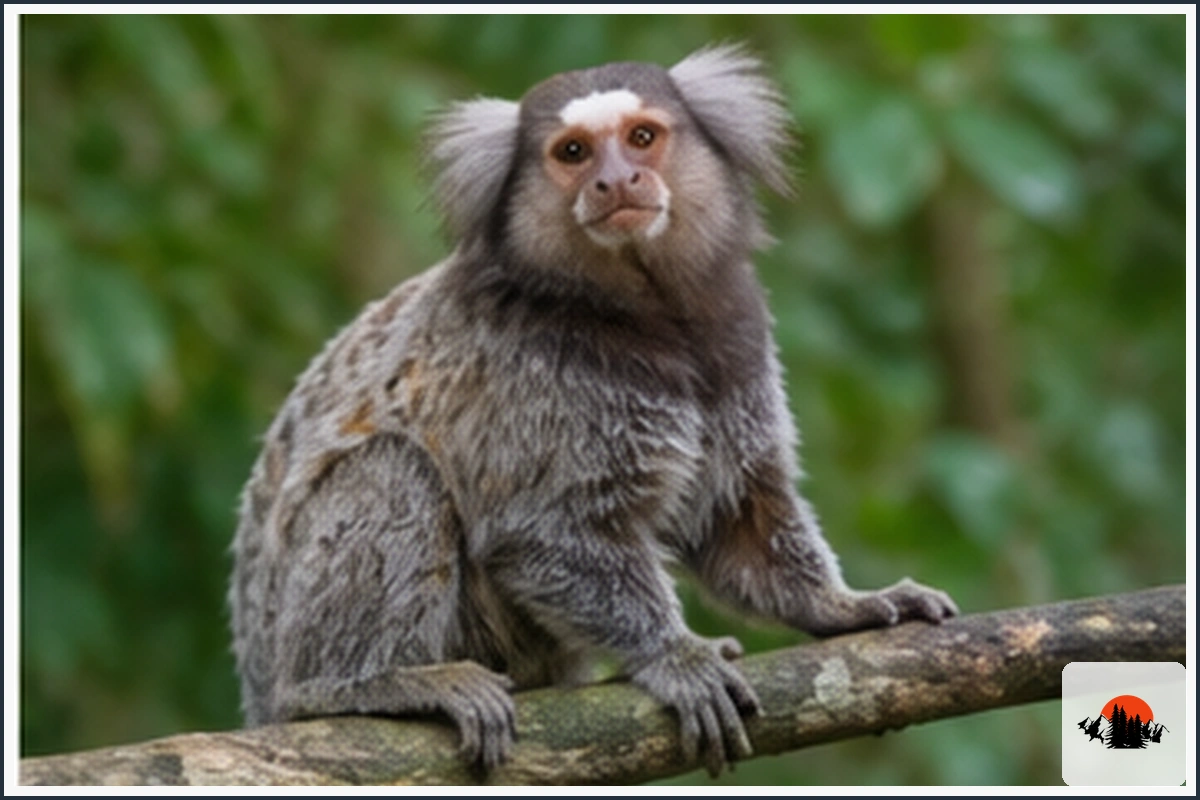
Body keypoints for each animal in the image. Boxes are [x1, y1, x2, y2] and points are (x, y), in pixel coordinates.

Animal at [228, 44, 958, 778]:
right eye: (573, 152)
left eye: (642, 138)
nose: (616, 181)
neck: (647, 316)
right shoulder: (532, 385)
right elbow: (541, 532)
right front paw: (673, 654)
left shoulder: (740, 341)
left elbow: (735, 516)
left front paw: (843, 606)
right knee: (393, 469)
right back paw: (365, 684)